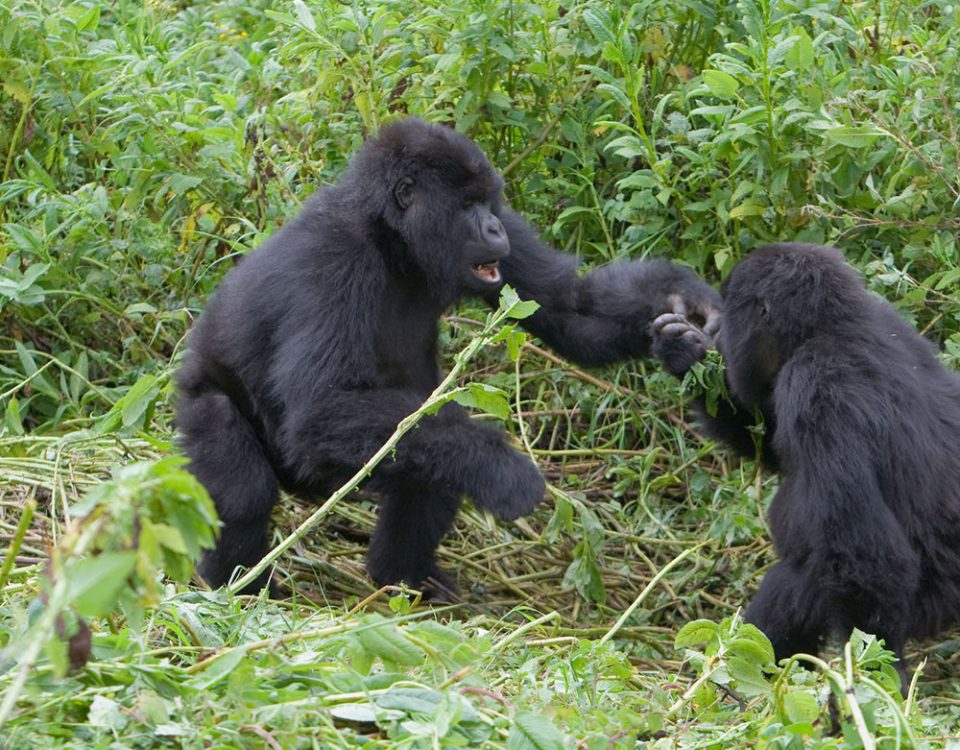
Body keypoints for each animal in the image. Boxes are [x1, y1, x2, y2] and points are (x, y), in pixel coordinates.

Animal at [178, 119, 720, 600]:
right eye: (466, 206)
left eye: (487, 202)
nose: (495, 226)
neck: (390, 236)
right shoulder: (333, 262)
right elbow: (319, 411)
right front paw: (503, 470)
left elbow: (570, 306)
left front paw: (684, 310)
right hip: (202, 394)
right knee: (243, 479)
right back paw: (242, 587)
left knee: (430, 454)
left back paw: (404, 578)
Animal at [656, 245, 960, 688]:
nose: (721, 338)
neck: (829, 328)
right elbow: (769, 444)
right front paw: (682, 352)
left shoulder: (816, 391)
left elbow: (866, 559)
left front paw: (868, 679)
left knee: (803, 579)